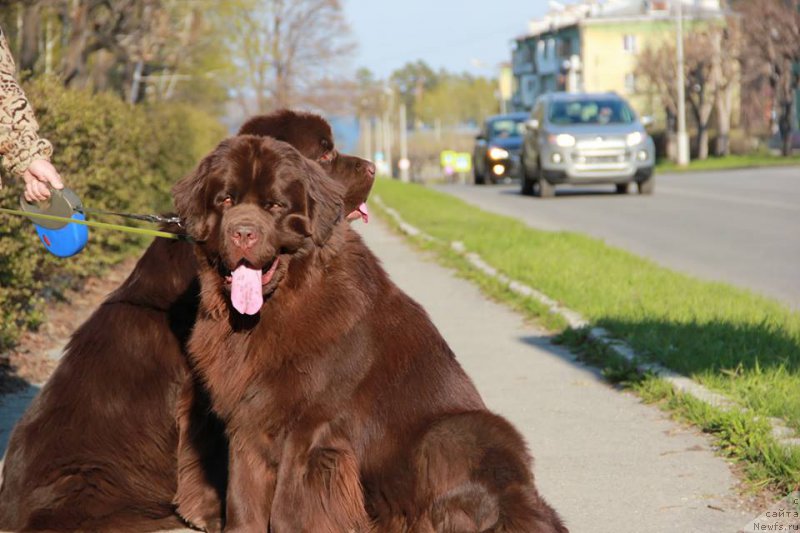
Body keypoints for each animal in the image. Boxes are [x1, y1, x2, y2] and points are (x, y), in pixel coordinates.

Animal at [177, 135, 564, 528]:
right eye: (225, 199)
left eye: (275, 205)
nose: (243, 232)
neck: (270, 310)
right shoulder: (246, 418)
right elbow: (243, 495)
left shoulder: (310, 424)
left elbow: (289, 505)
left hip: (458, 432)